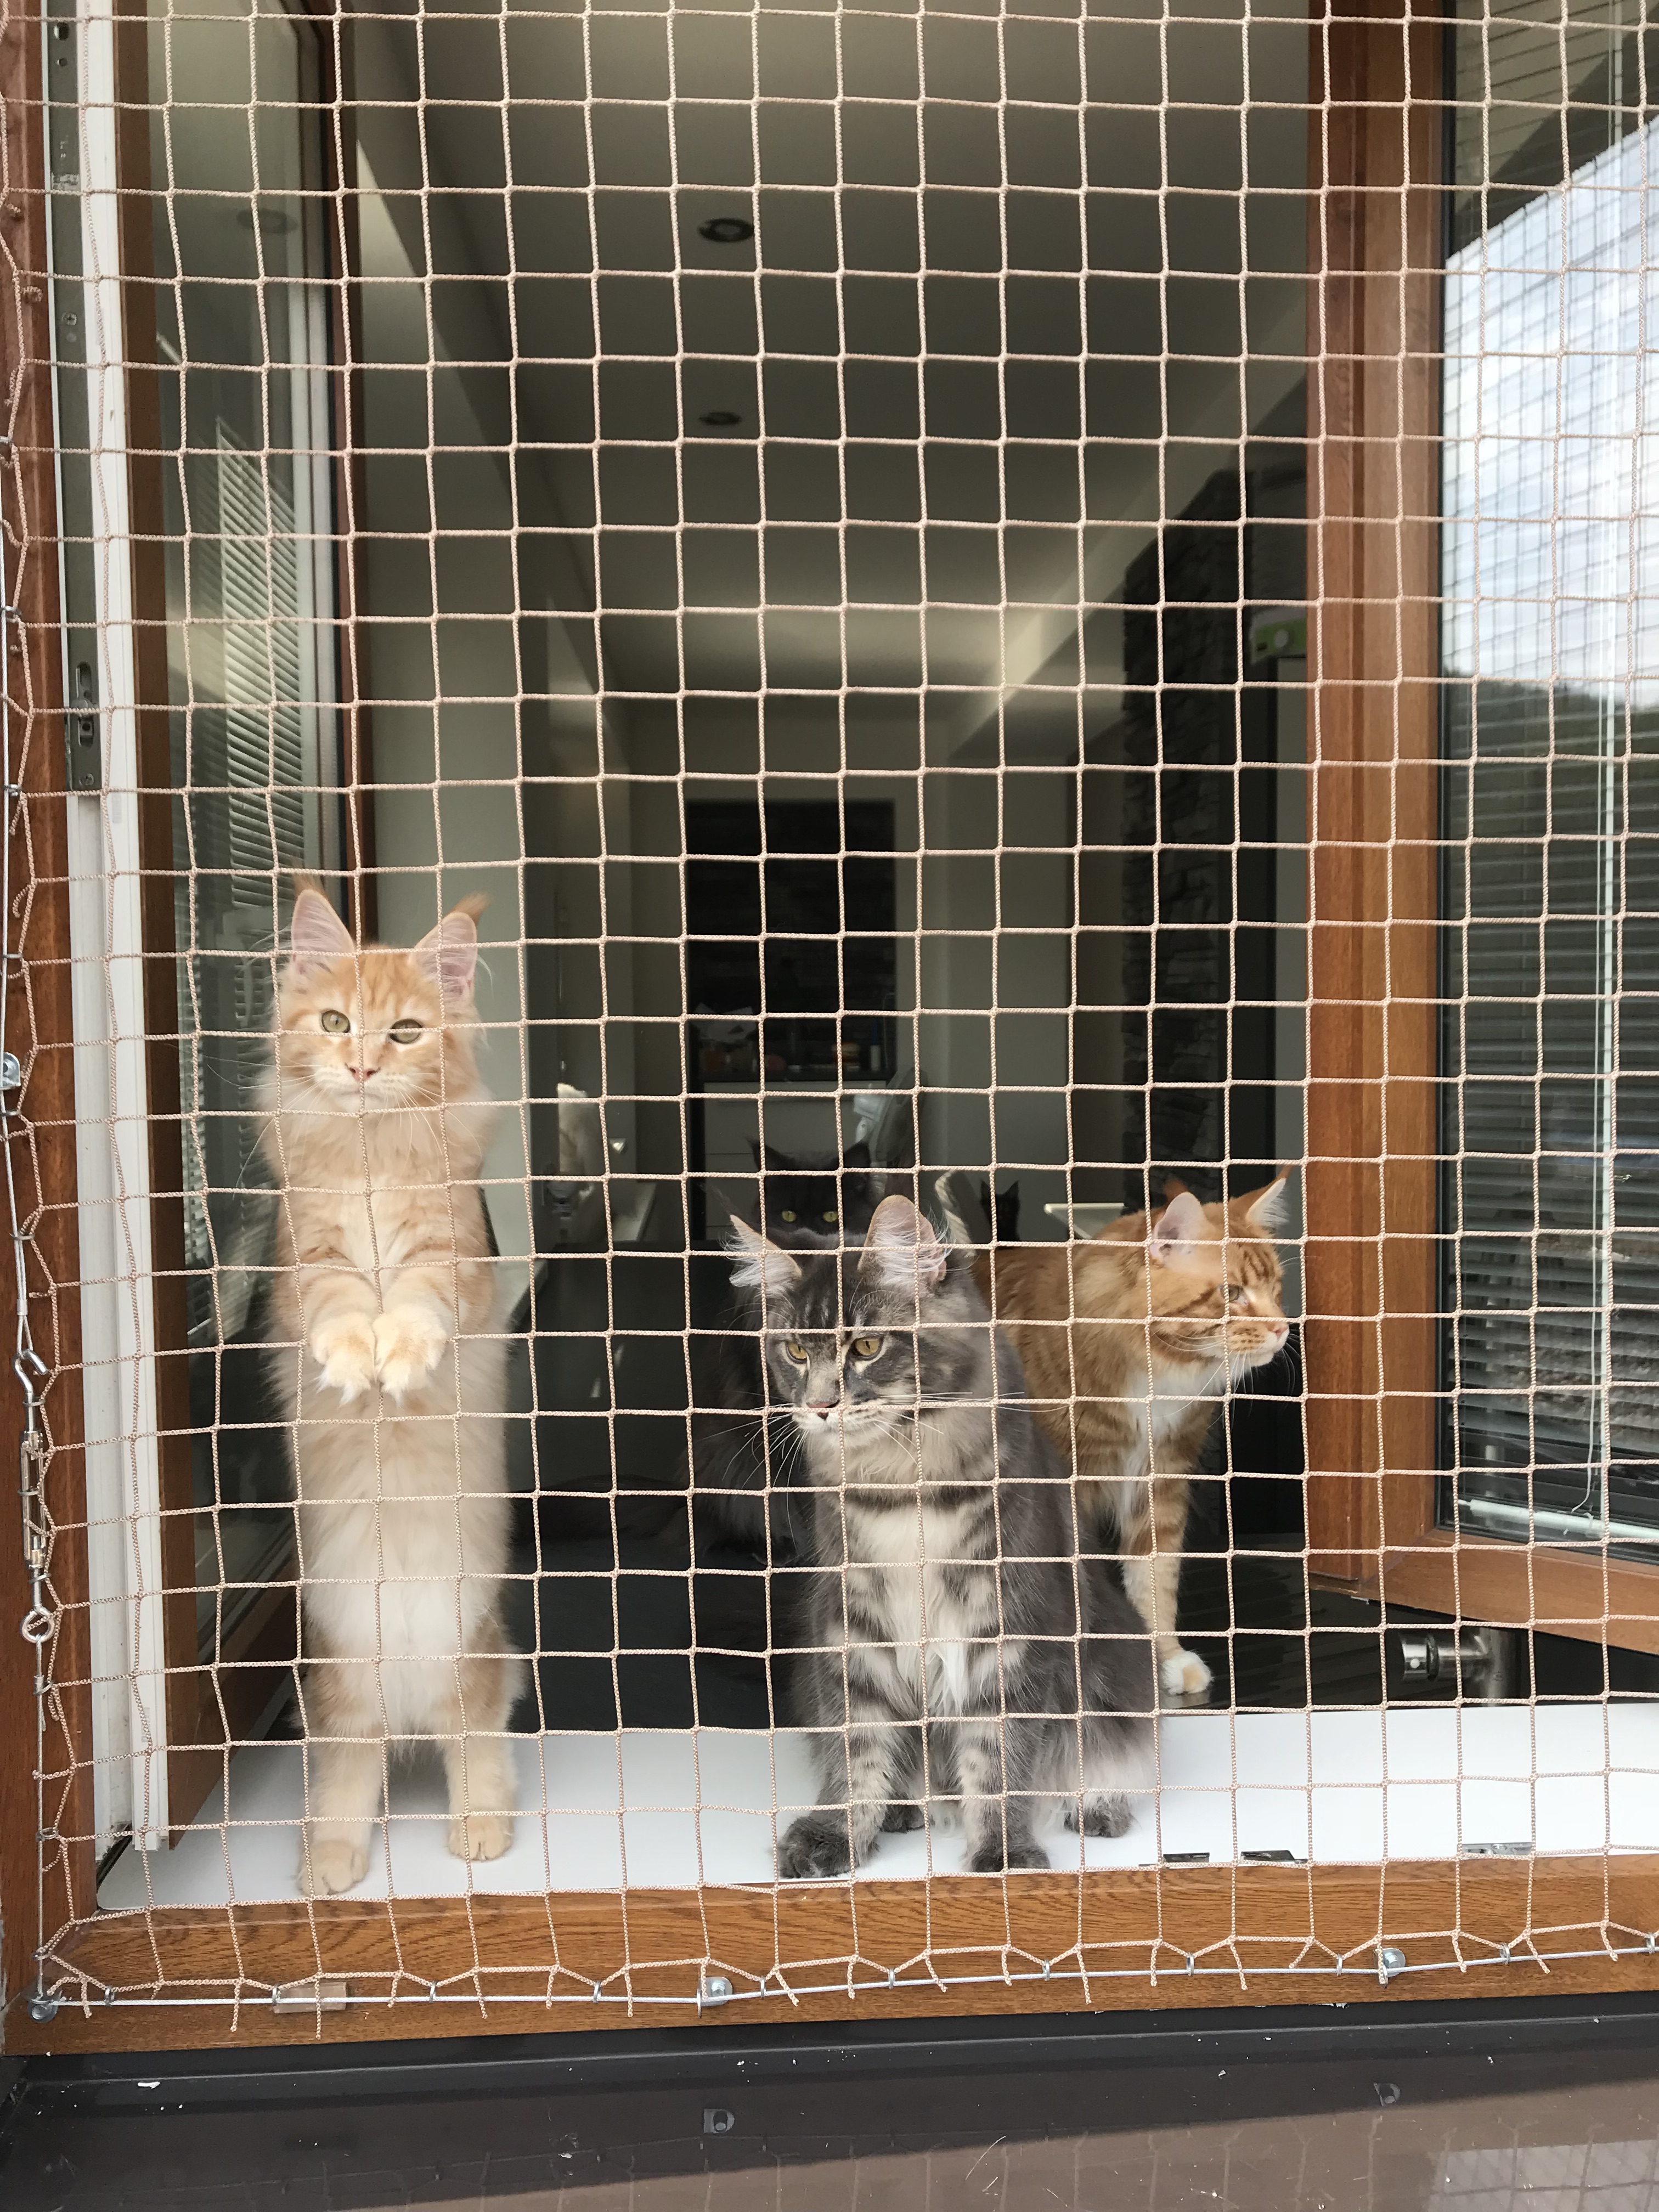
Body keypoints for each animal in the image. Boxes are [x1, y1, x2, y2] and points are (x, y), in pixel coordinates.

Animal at [263, 884, 524, 1896]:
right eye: (336, 1023)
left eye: (406, 1033)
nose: (364, 1066)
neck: (372, 1154)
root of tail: (408, 1705)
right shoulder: (306, 1269)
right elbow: (341, 1309)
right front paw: (354, 1365)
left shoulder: (454, 1265)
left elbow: (413, 1305)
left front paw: (399, 1363)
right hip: (340, 1686)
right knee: (349, 1773)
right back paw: (328, 1867)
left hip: (473, 1651)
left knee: (474, 1748)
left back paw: (480, 1834)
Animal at [729, 1195, 1155, 1878]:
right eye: (794, 1352)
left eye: (867, 1346)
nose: (819, 1407)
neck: (902, 1486)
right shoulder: (853, 1628)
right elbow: (857, 1753)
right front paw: (835, 1834)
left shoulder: (1008, 1627)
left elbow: (997, 1759)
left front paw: (1004, 1852)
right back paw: (906, 1809)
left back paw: (1098, 1807)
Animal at [974, 1177, 1290, 1702]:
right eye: (1232, 1293)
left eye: (1276, 1290)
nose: (1283, 1328)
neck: (1153, 1372)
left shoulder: (1162, 1476)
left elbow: (1155, 1580)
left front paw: (1165, 1660)